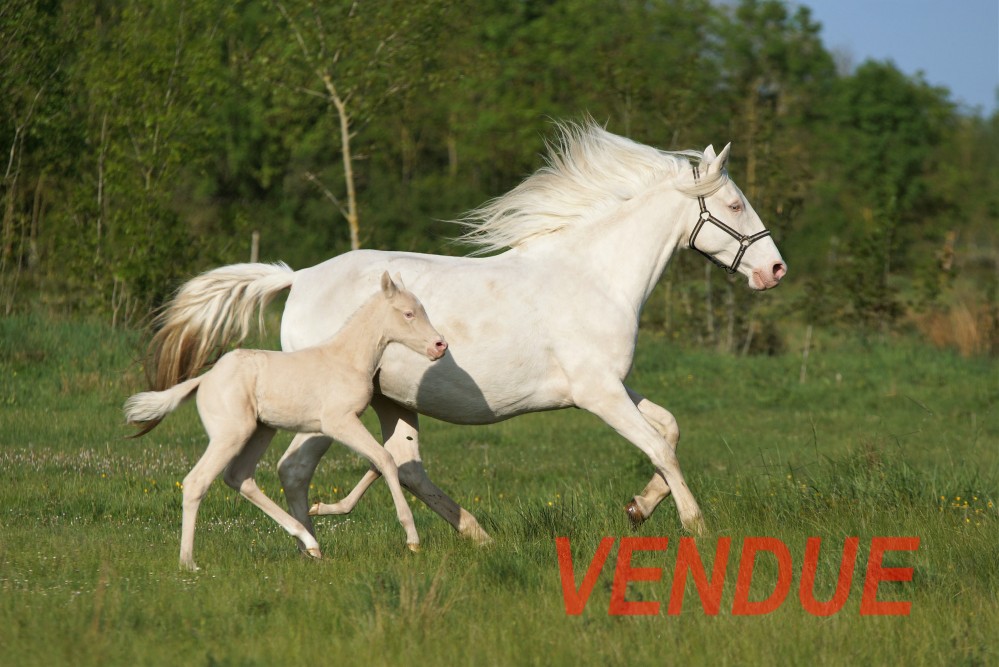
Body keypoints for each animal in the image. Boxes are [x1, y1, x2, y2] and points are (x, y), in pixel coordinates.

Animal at [124, 274, 446, 572]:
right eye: (408, 313)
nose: (440, 346)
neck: (347, 359)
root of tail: (204, 379)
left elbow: (380, 461)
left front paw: (322, 509)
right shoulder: (338, 422)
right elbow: (385, 459)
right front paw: (412, 538)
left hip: (260, 430)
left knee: (239, 477)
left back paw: (310, 542)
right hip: (232, 434)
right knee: (196, 482)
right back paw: (188, 562)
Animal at [146, 120, 788, 548]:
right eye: (736, 203)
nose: (775, 270)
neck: (595, 275)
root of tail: (298, 278)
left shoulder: (611, 385)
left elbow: (669, 430)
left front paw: (637, 509)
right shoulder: (597, 393)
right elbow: (657, 446)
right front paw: (694, 524)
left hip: (389, 401)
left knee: (402, 465)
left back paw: (471, 534)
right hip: (326, 408)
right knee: (296, 470)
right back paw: (314, 545)